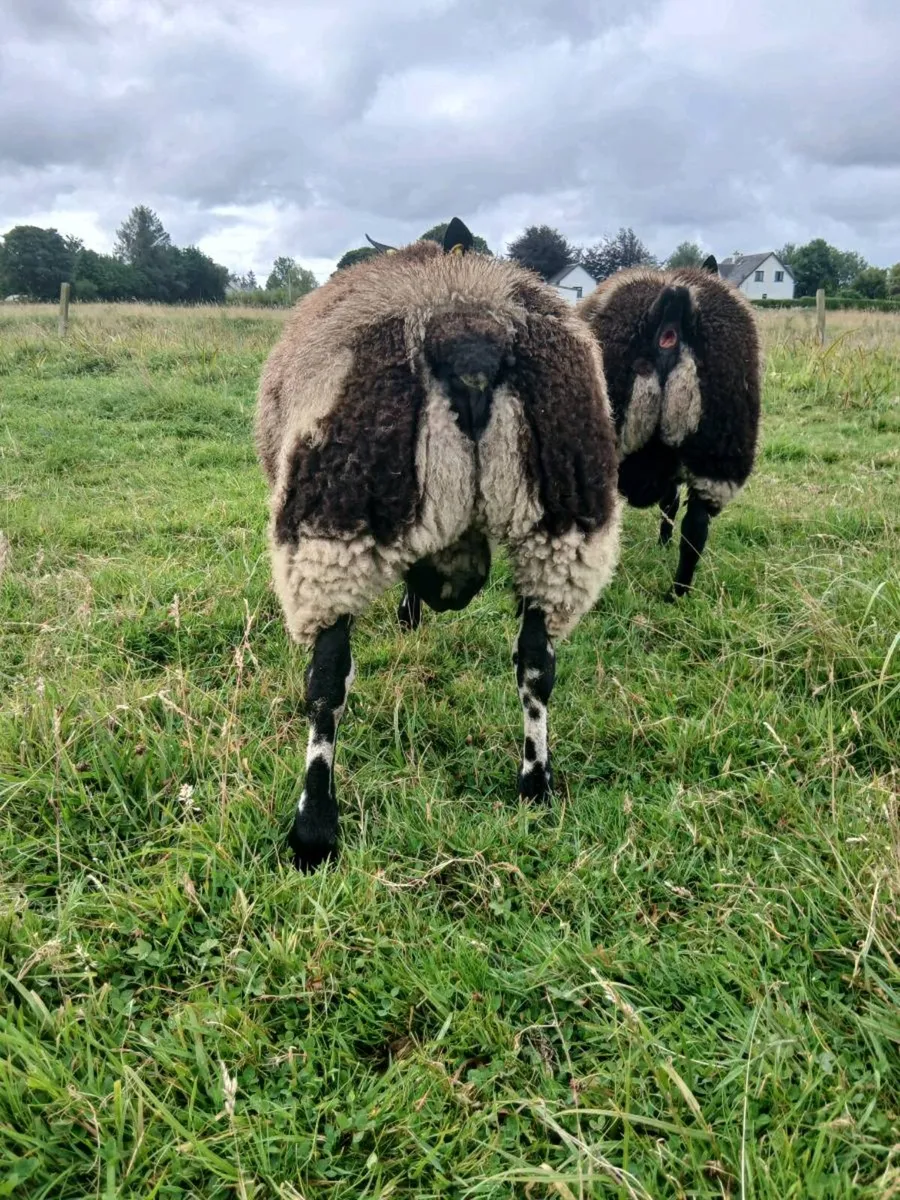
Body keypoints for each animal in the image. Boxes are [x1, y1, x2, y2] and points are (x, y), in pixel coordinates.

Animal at [254, 218, 622, 870]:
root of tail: (470, 341)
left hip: (329, 522)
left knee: (326, 682)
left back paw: (313, 830)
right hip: (564, 527)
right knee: (536, 663)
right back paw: (535, 785)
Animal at [576, 256, 762, 600]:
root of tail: (674, 309)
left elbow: (668, 503)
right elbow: (672, 505)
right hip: (720, 451)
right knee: (696, 529)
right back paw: (678, 594)